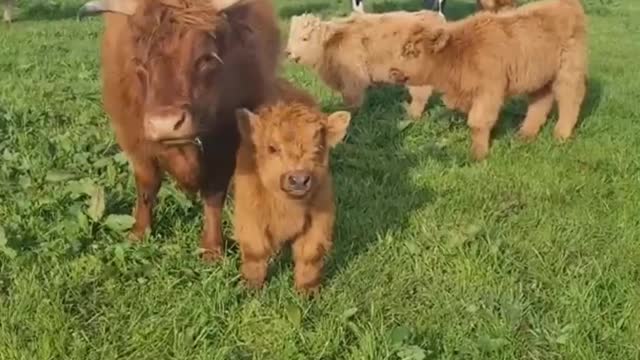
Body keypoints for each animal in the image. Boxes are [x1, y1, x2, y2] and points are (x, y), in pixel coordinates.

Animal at [77, 0, 280, 260]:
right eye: (139, 62)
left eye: (206, 58)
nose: (166, 124)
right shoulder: (135, 140)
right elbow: (147, 186)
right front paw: (139, 232)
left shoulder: (227, 142)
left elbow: (214, 193)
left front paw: (212, 248)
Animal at [284, 11, 436, 119]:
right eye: (290, 36)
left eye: (305, 38)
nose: (287, 52)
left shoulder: (353, 77)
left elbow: (352, 98)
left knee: (420, 95)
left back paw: (411, 114)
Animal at [398, 0, 588, 159]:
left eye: (411, 49)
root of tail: (569, 4)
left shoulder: (488, 90)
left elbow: (478, 121)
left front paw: (478, 155)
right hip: (540, 74)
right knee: (541, 100)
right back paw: (525, 134)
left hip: (569, 68)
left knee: (570, 98)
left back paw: (561, 135)